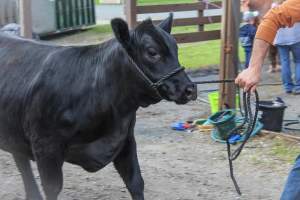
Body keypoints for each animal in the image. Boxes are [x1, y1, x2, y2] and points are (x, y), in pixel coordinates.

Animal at [0, 15, 197, 200]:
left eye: (176, 48)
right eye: (152, 52)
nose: (189, 89)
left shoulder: (125, 139)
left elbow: (135, 182)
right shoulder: (45, 147)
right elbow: (52, 188)